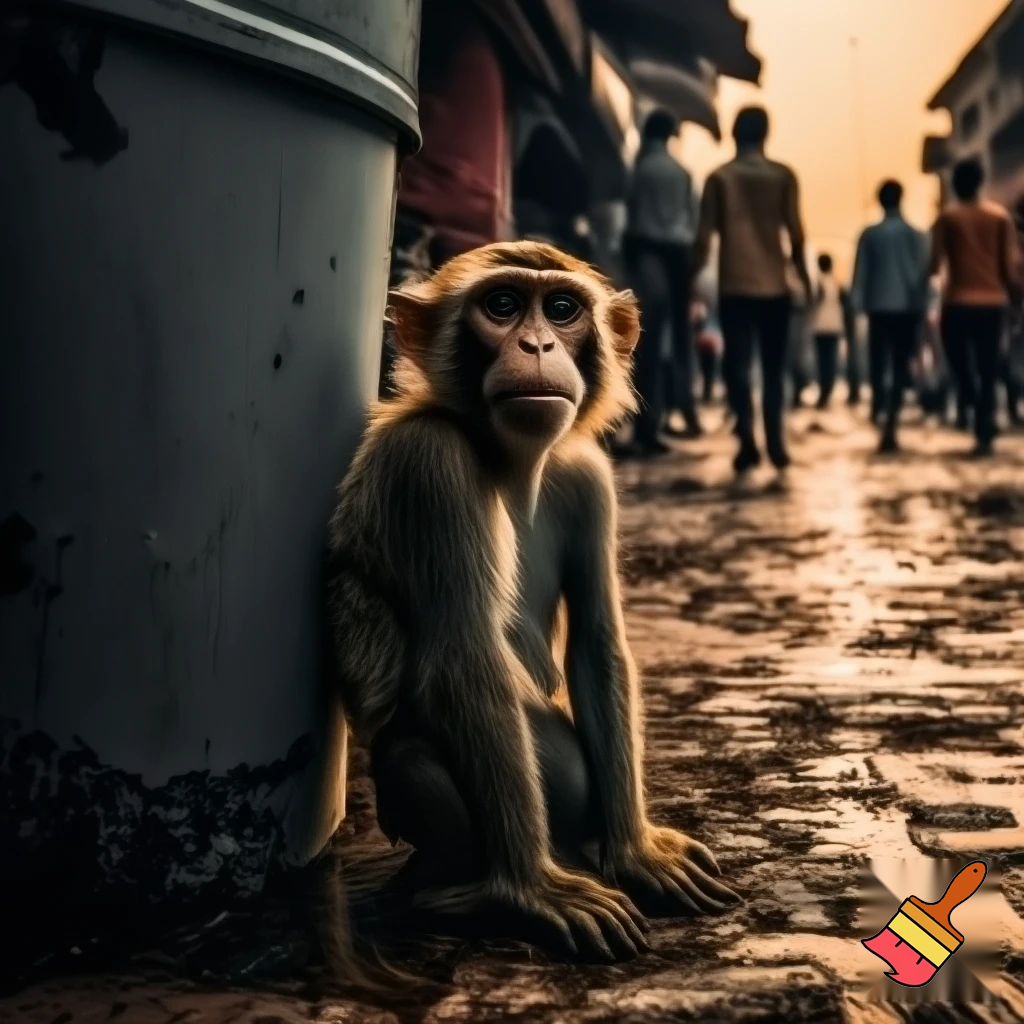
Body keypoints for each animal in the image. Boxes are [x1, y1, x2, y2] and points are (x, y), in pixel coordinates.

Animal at [326, 241, 739, 962]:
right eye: (502, 305)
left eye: (563, 309)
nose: (538, 343)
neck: (509, 462)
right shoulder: (429, 464)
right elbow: (464, 658)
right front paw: (531, 890)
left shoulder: (588, 476)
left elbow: (597, 642)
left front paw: (635, 853)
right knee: (412, 753)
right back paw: (458, 893)